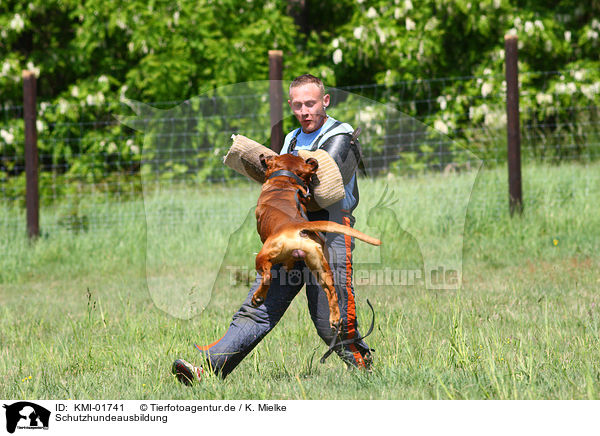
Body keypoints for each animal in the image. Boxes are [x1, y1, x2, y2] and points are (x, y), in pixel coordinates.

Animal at [252, 153, 382, 330]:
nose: (262, 155)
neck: (285, 181)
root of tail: (298, 226)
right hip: (320, 266)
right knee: (331, 291)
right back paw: (335, 319)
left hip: (263, 256)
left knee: (267, 276)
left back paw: (258, 297)